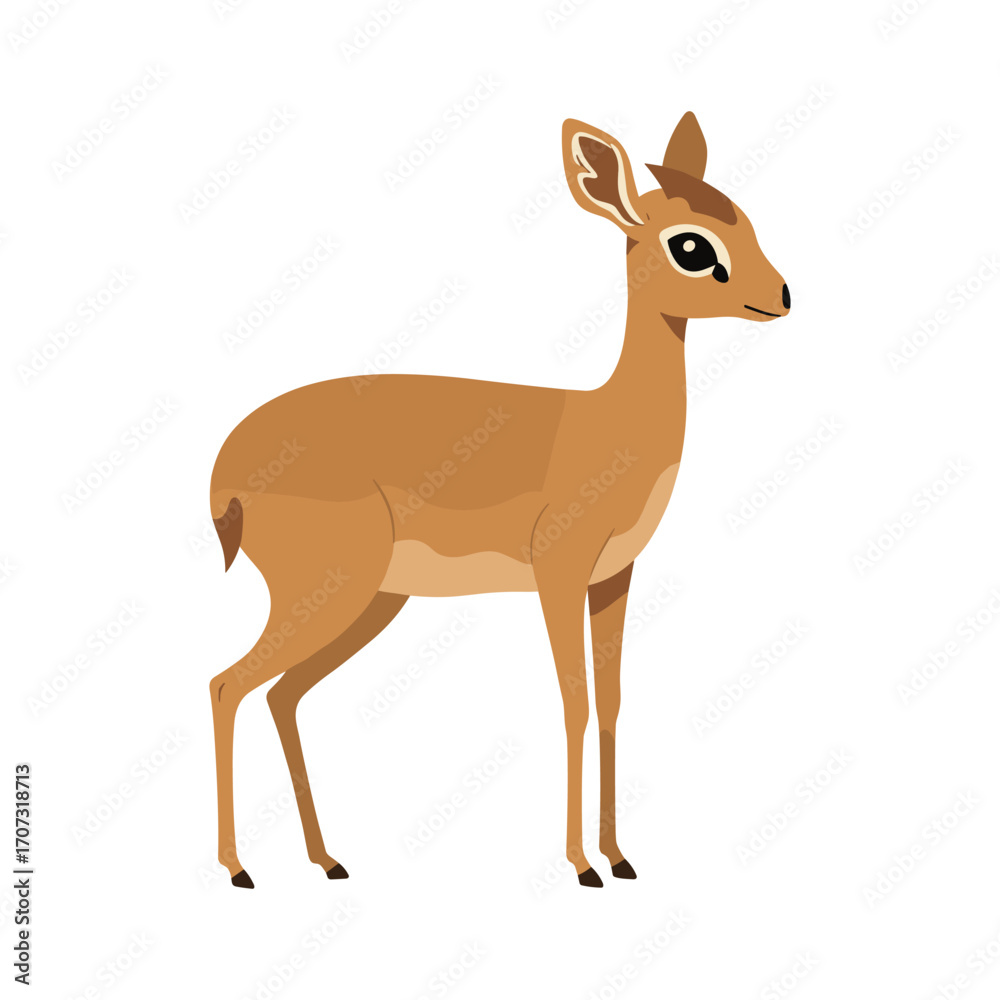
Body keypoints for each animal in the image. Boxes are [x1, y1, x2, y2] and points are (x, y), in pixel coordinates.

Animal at [208, 112, 790, 889]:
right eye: (692, 244)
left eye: (744, 215)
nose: (784, 294)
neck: (613, 424)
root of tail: (224, 467)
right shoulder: (558, 571)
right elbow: (574, 702)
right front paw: (581, 865)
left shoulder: (613, 577)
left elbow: (612, 702)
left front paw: (620, 856)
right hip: (329, 591)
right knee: (227, 685)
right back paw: (238, 868)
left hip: (371, 601)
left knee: (279, 693)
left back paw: (327, 860)